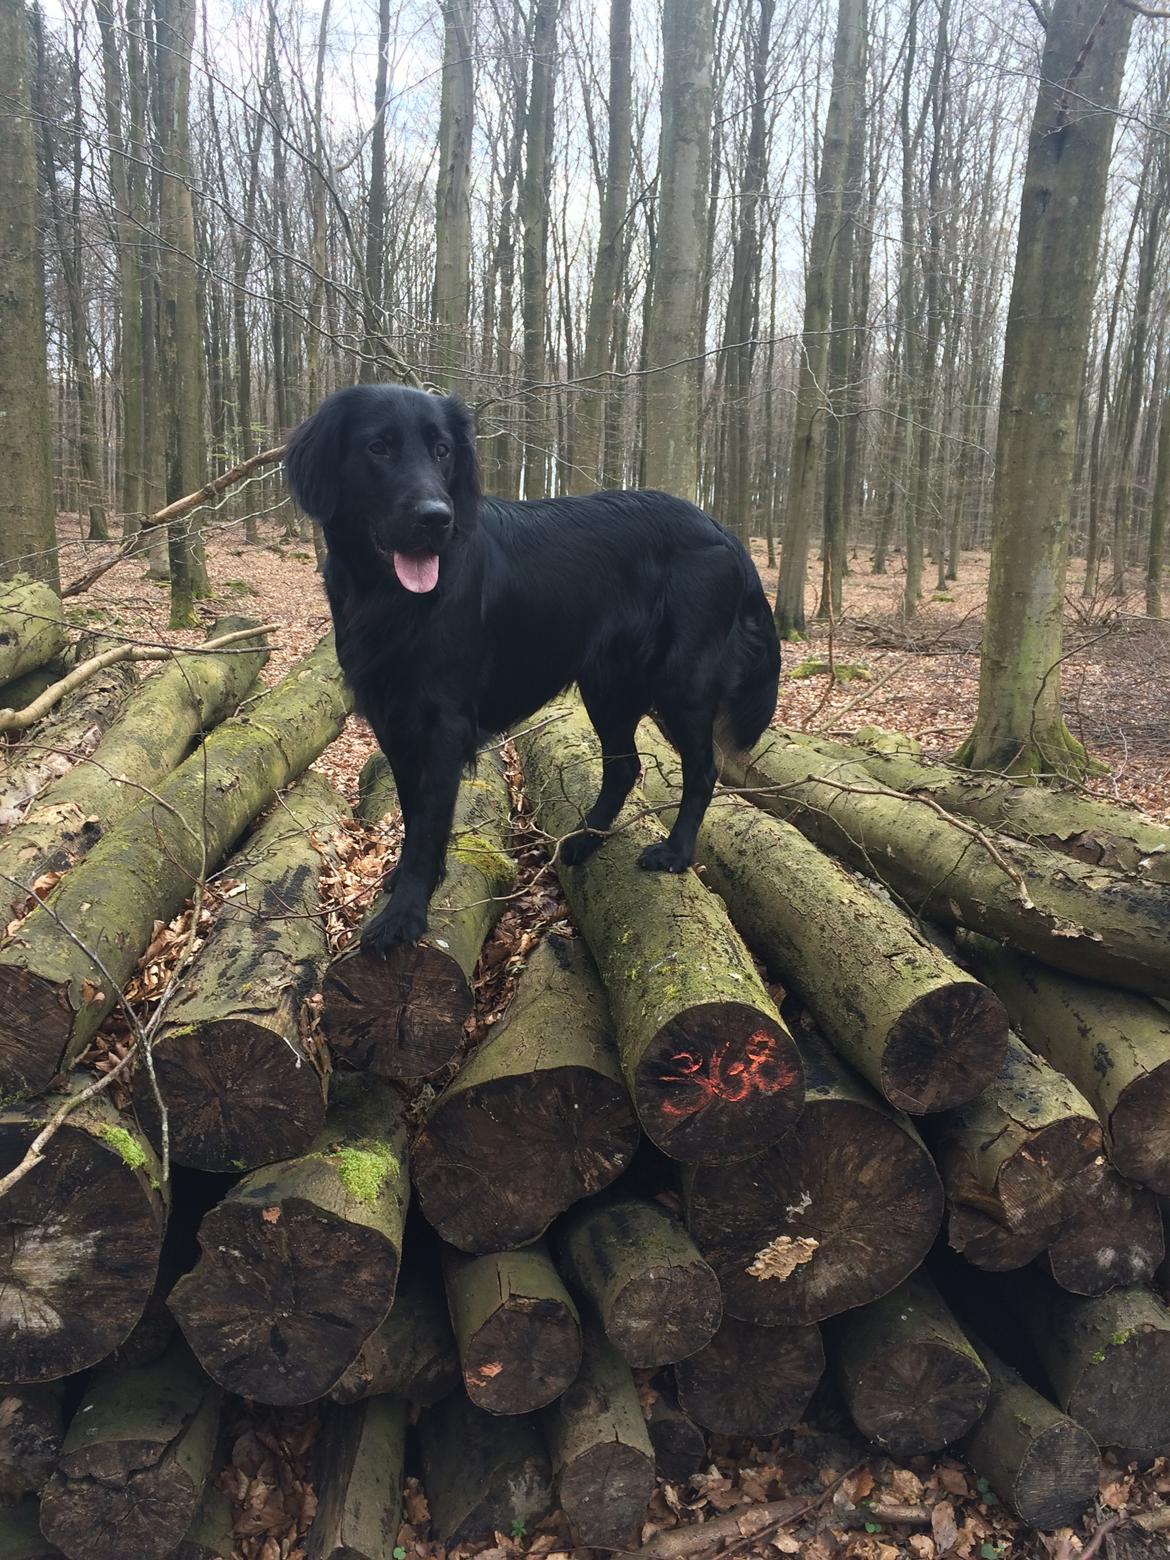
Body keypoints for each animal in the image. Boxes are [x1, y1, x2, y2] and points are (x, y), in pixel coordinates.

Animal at [285, 390, 783, 948]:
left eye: (442, 450)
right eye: (378, 447)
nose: (437, 518)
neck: (392, 598)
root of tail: (723, 532)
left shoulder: (444, 723)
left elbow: (430, 819)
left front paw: (405, 914)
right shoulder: (391, 718)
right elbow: (414, 813)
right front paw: (407, 883)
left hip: (681, 684)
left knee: (702, 769)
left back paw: (675, 853)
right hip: (607, 686)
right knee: (624, 766)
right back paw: (584, 841)